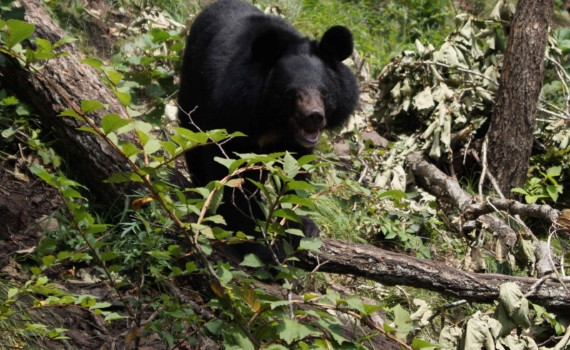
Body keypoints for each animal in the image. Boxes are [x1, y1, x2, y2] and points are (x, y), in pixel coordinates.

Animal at [175, 0, 358, 252]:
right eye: (291, 93)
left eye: (325, 92)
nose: (314, 117)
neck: (274, 123)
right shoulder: (229, 113)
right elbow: (226, 169)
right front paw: (249, 233)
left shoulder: (295, 144)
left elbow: (296, 172)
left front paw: (302, 226)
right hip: (192, 84)